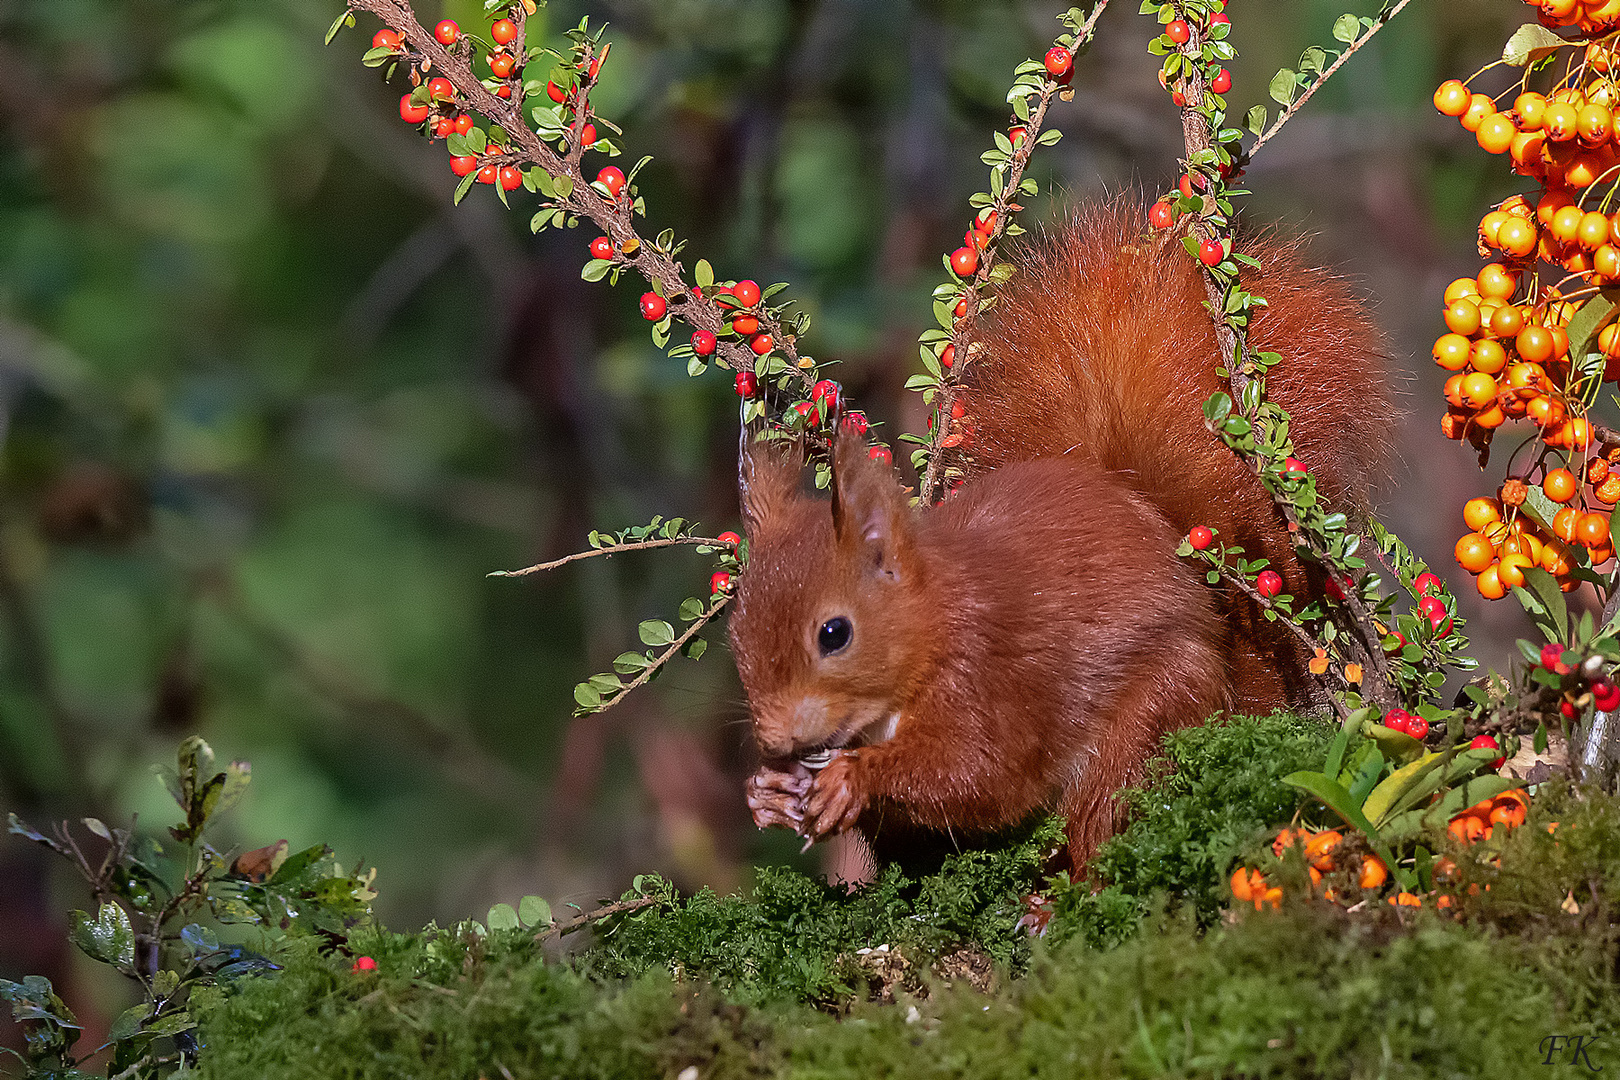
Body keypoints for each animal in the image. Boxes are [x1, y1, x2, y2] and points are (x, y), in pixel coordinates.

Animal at [725, 200, 1393, 867]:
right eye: (737, 633)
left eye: (834, 634)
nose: (776, 738)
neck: (933, 622)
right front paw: (769, 791)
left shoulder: (990, 679)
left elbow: (983, 775)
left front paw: (854, 777)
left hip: (1151, 715)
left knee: (1104, 813)